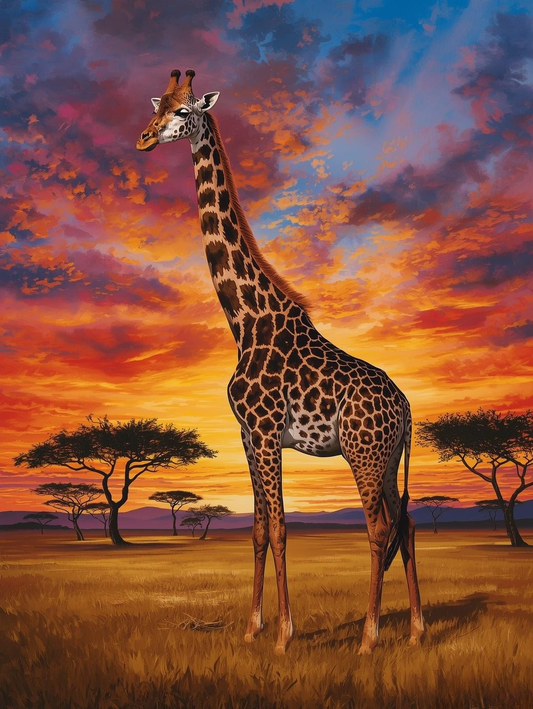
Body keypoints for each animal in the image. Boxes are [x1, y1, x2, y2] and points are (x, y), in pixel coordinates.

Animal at [137, 69, 425, 655]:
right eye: (158, 106)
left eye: (184, 113)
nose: (146, 138)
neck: (245, 320)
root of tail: (407, 408)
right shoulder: (248, 436)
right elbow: (257, 530)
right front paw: (252, 628)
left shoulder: (268, 432)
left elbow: (282, 528)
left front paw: (284, 636)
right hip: (387, 459)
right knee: (405, 524)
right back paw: (414, 632)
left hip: (362, 453)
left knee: (379, 528)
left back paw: (369, 639)